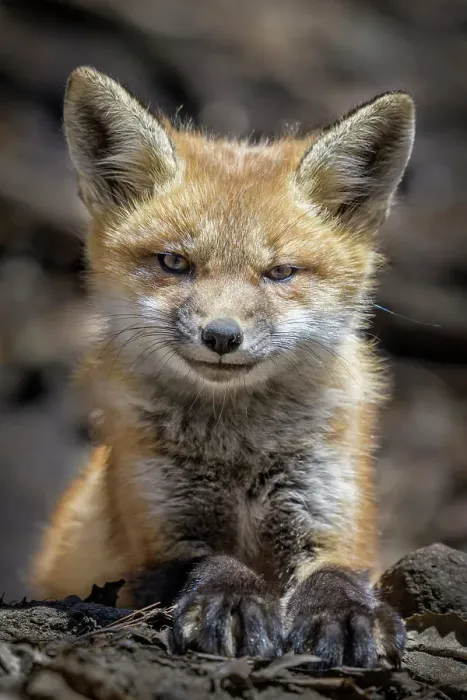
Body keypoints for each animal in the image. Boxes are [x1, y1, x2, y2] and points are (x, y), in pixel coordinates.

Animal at [31, 66, 415, 667]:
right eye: (174, 263)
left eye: (281, 272)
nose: (221, 336)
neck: (240, 451)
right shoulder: (156, 537)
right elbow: (214, 562)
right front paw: (233, 603)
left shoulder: (337, 523)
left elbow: (337, 575)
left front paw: (345, 614)